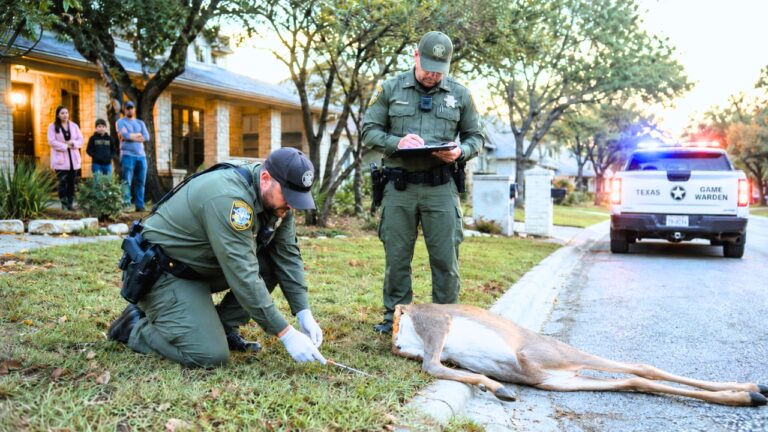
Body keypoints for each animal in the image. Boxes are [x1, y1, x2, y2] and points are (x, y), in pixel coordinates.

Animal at [392, 303, 768, 407]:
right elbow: (434, 366)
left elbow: (433, 366)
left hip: (547, 356)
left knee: (640, 366)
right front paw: (496, 387)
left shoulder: (437, 323)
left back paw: (752, 390)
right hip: (555, 379)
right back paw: (749, 395)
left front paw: (496, 387)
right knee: (634, 380)